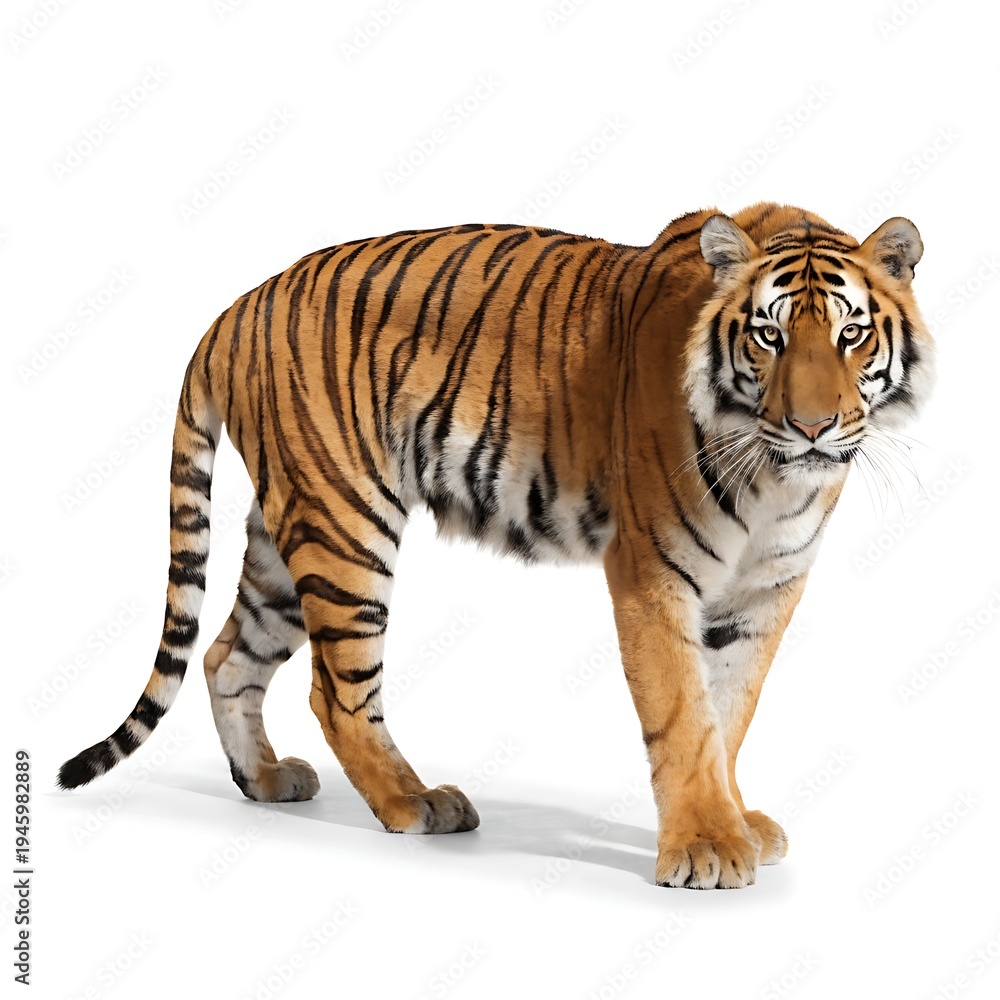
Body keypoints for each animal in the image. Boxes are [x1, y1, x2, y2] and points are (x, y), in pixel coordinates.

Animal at [57, 202, 934, 889]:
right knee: (335, 690)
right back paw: (415, 803)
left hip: (287, 529)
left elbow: (732, 712)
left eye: (852, 336)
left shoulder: (766, 590)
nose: (813, 426)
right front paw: (706, 850)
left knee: (225, 655)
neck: (776, 481)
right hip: (346, 521)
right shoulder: (653, 573)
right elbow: (685, 715)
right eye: (768, 337)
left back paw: (267, 779)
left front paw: (733, 823)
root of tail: (234, 308)